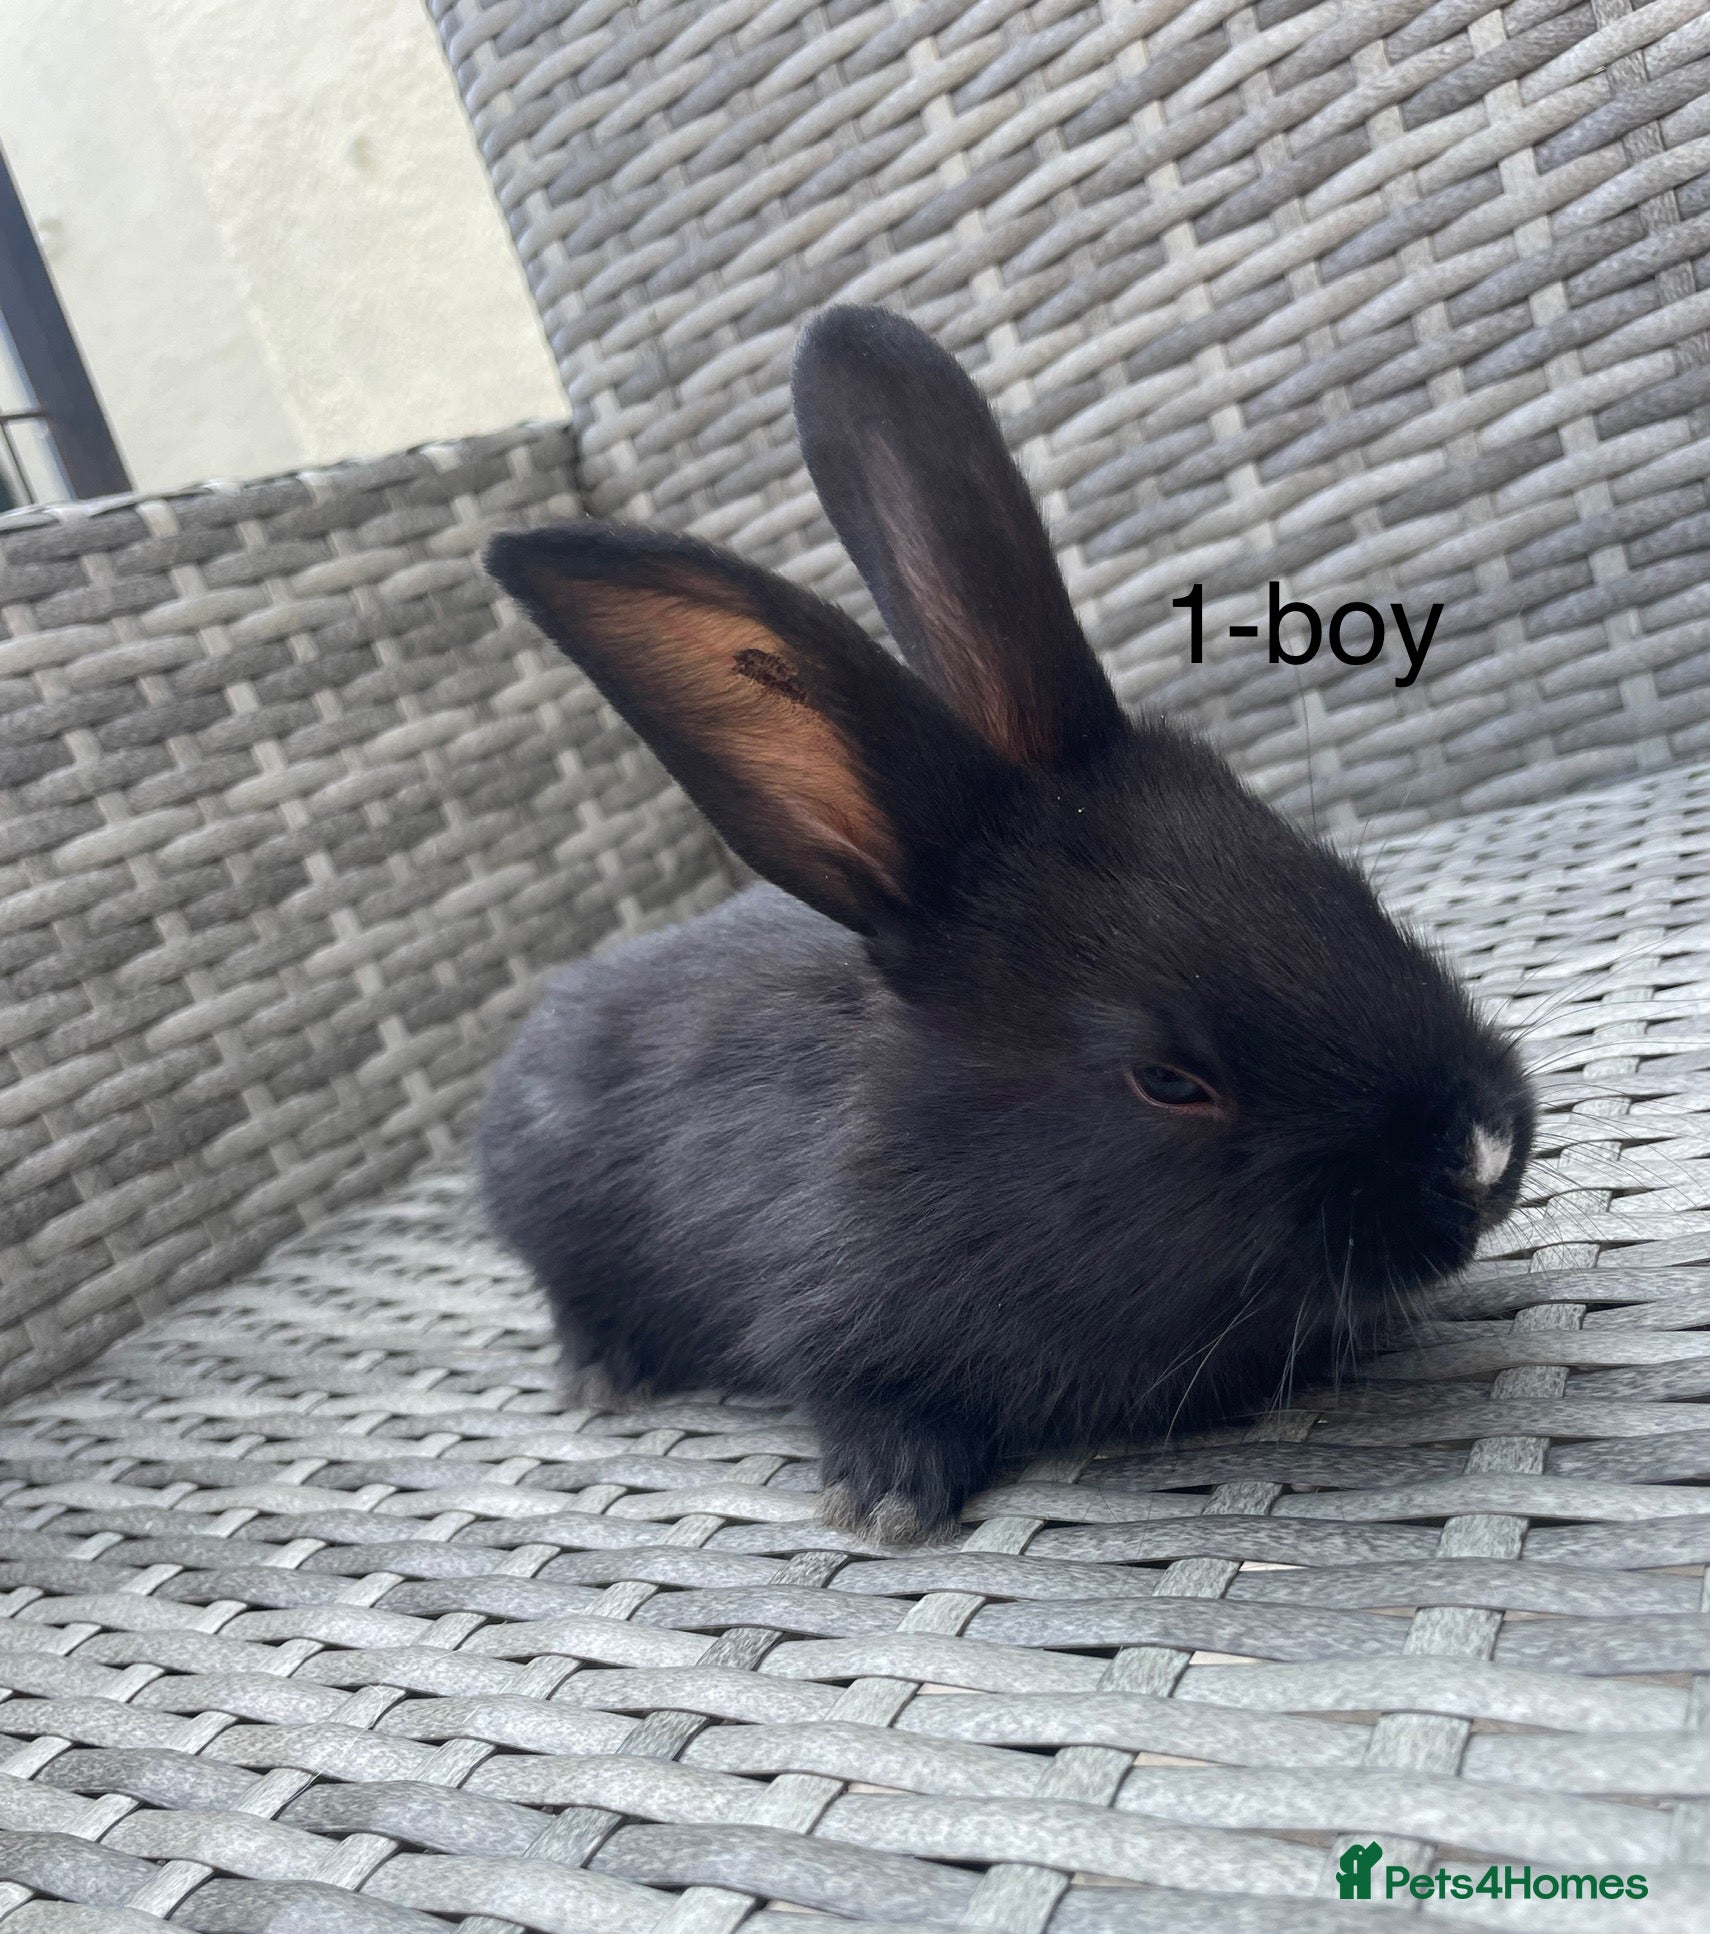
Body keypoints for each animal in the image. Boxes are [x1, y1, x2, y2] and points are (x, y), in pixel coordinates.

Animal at [477, 304, 1534, 1546]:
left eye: (1349, 887)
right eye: (1166, 1080)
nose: (1480, 1154)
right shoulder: (810, 1301)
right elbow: (849, 1386)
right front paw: (885, 1500)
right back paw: (607, 1372)